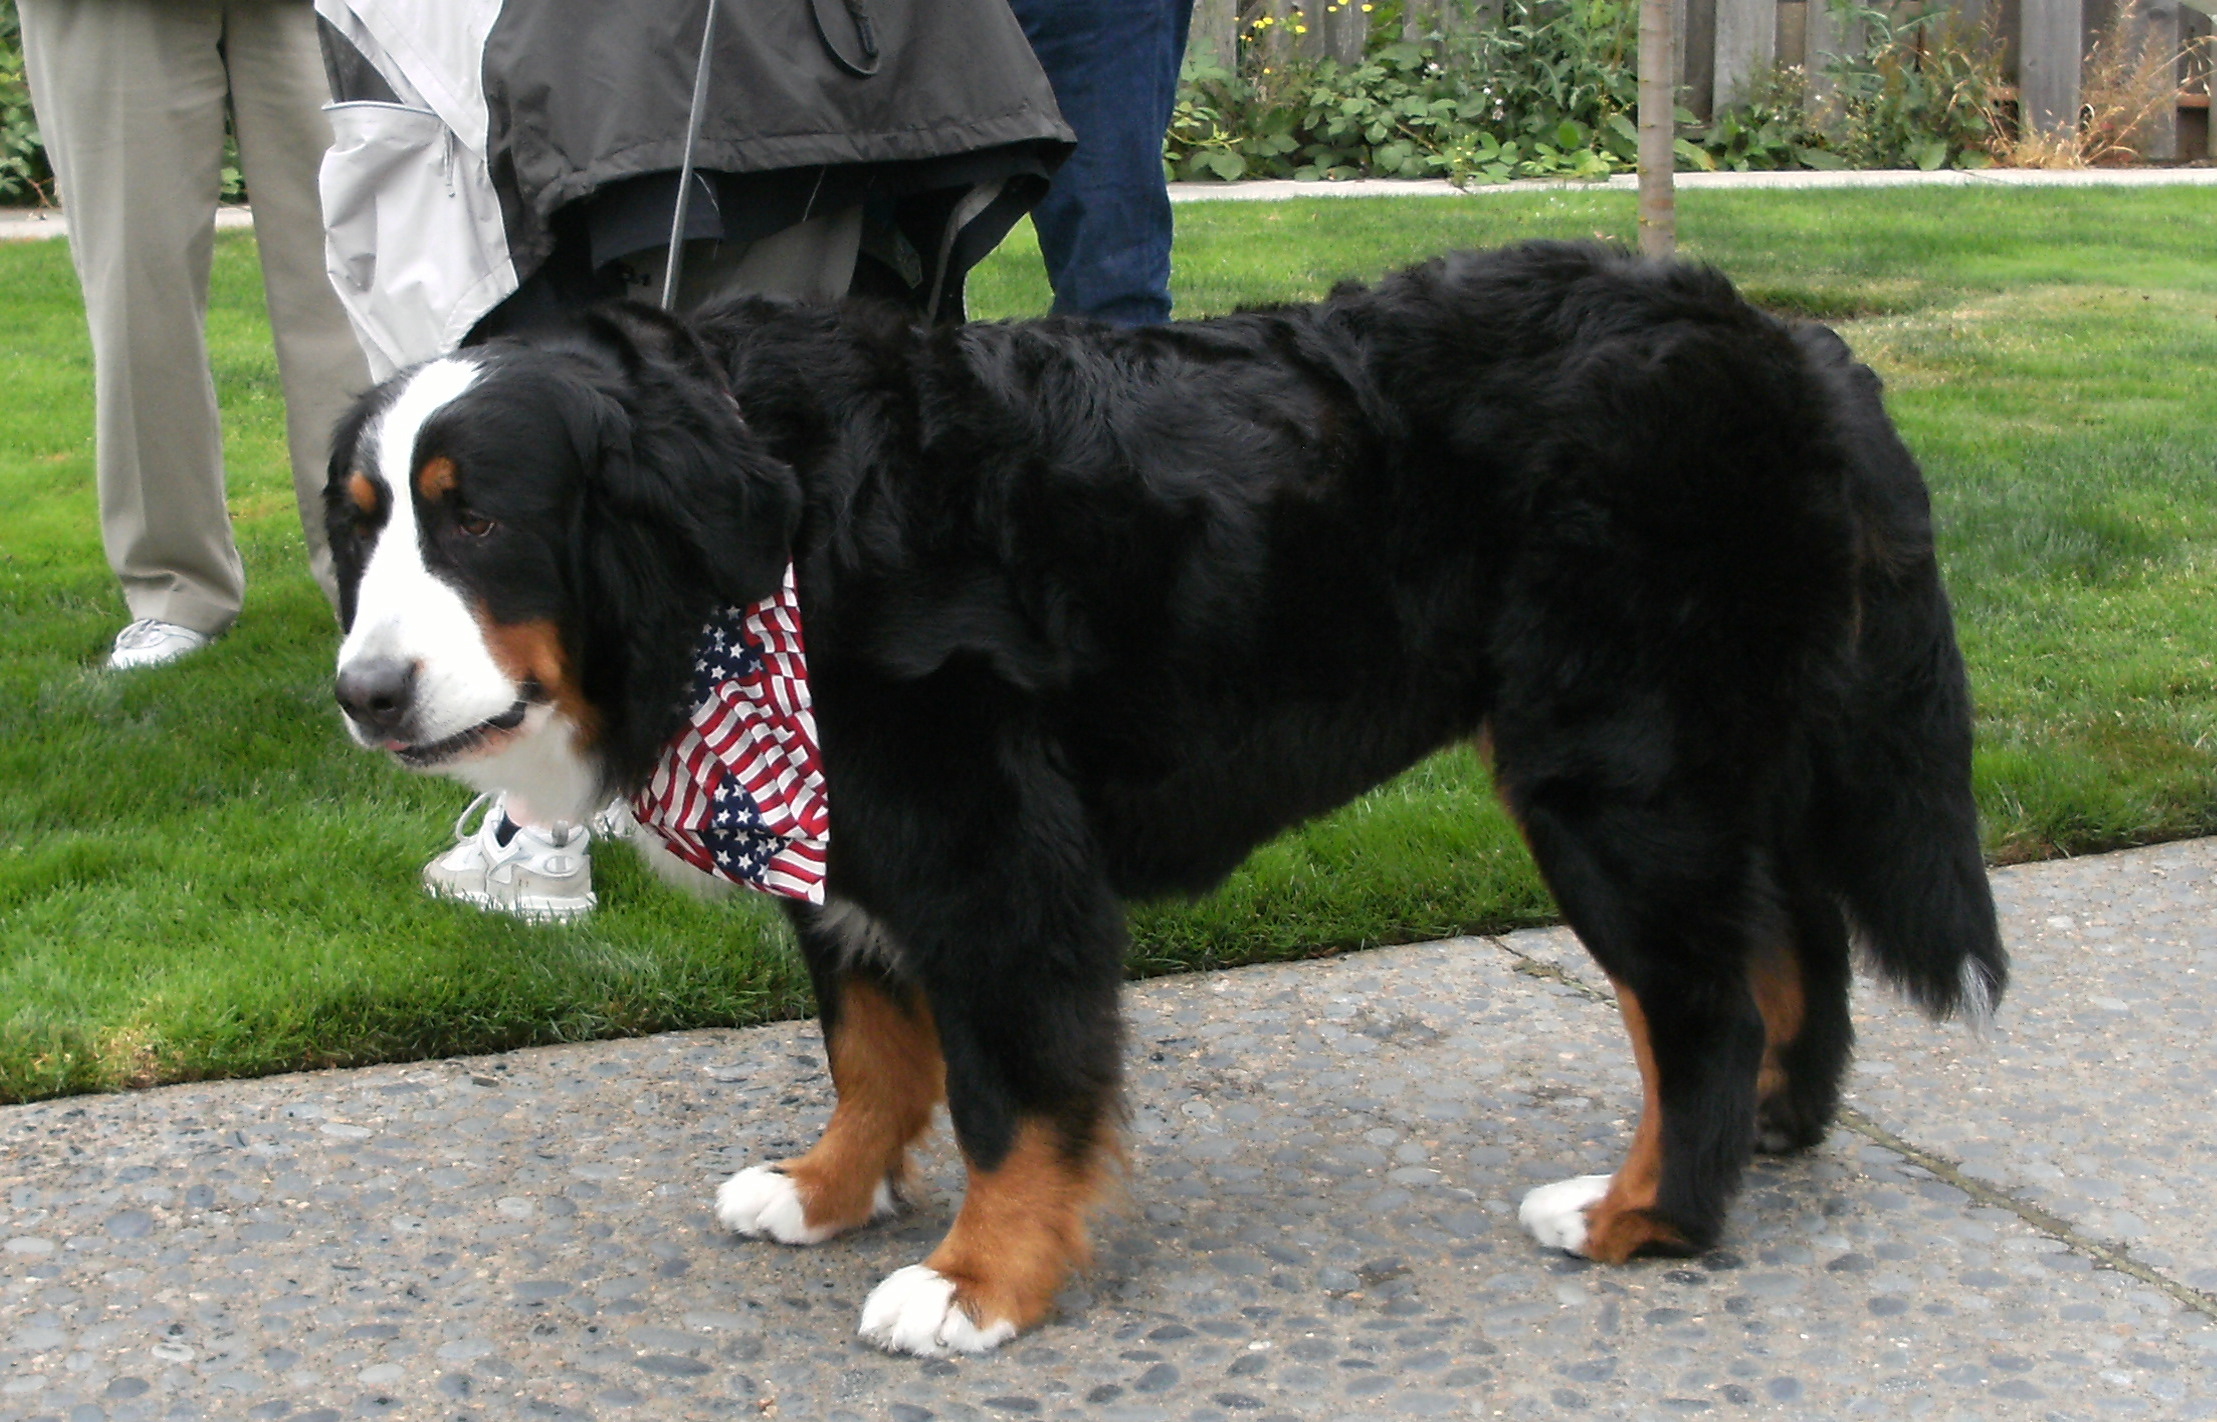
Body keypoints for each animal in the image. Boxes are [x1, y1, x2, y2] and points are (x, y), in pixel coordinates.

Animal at [328, 241, 2013, 1348]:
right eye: (360, 526)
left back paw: (1643, 1215)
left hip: (1609, 770)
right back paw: (1778, 1133)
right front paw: (825, 1190)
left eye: (480, 521)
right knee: (1791, 950)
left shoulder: (992, 856)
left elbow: (1013, 1093)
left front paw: (978, 1282)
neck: (776, 524)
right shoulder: (855, 853)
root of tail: (1780, 337)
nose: (362, 692)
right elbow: (872, 1044)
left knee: (1702, 1005)